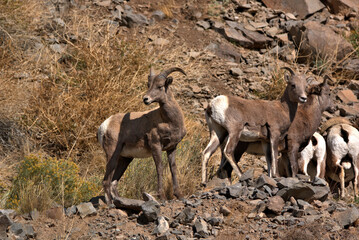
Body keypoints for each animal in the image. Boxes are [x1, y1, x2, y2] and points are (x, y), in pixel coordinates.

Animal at [98, 67, 188, 204]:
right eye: (148, 85)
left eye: (160, 86)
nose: (145, 99)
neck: (169, 121)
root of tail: (104, 125)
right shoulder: (156, 146)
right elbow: (159, 168)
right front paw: (162, 198)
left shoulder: (172, 148)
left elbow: (173, 168)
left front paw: (180, 196)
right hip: (112, 154)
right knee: (106, 181)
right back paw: (110, 204)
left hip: (125, 159)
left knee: (113, 182)